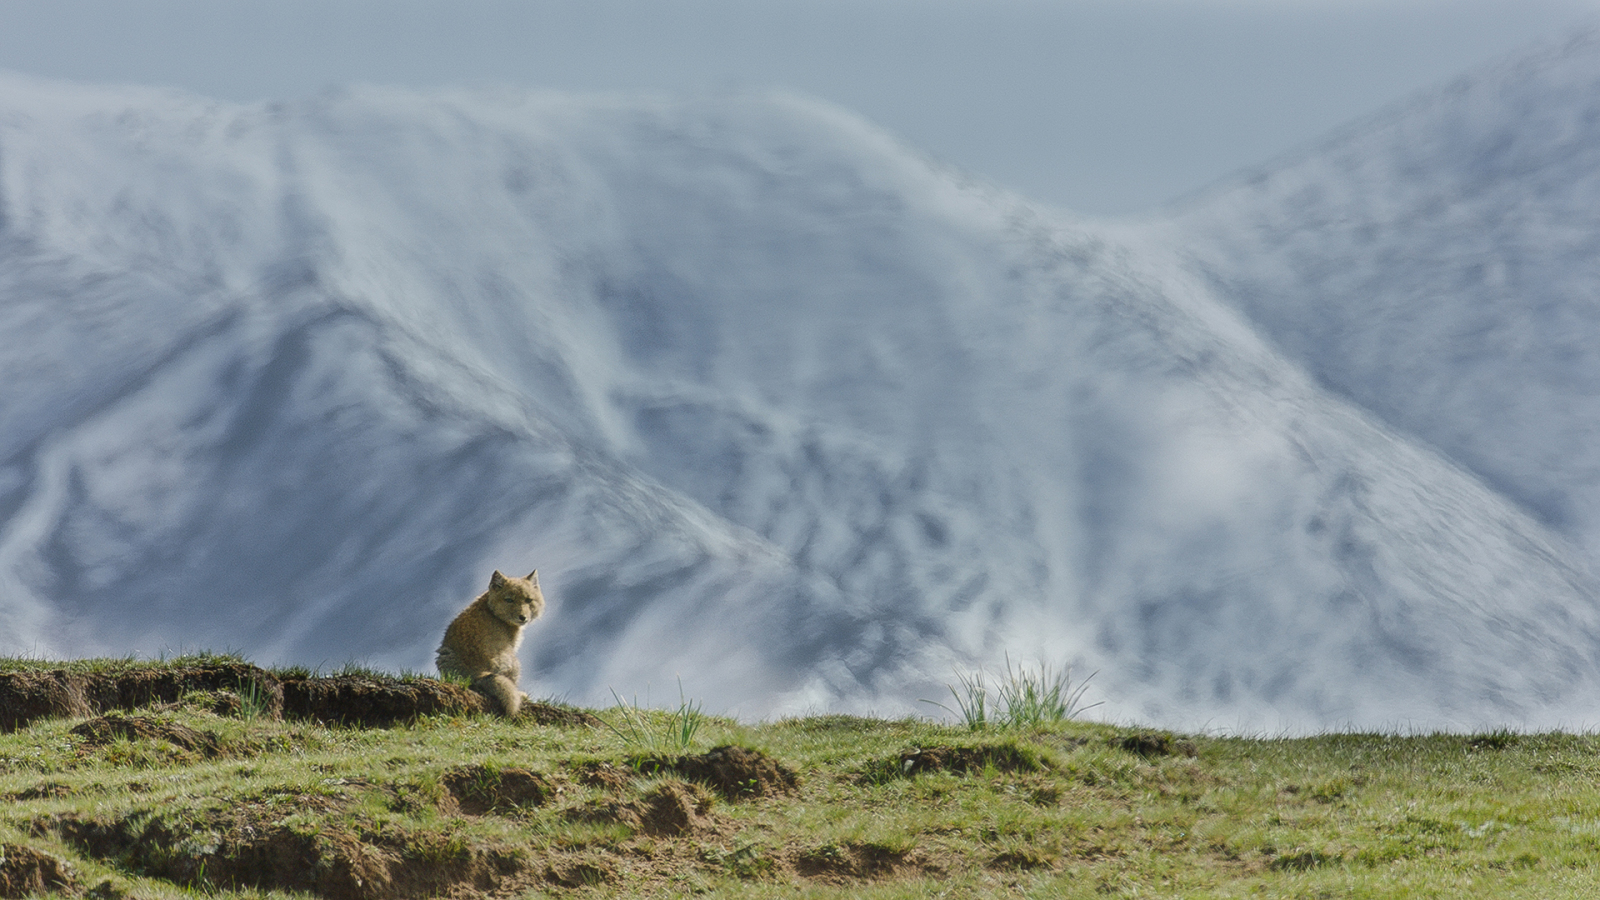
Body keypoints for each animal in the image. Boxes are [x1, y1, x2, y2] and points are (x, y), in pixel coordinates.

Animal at [438, 566, 544, 714]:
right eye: (509, 600)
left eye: (528, 600)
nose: (522, 617)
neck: (491, 610)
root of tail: (477, 673)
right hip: (515, 663)